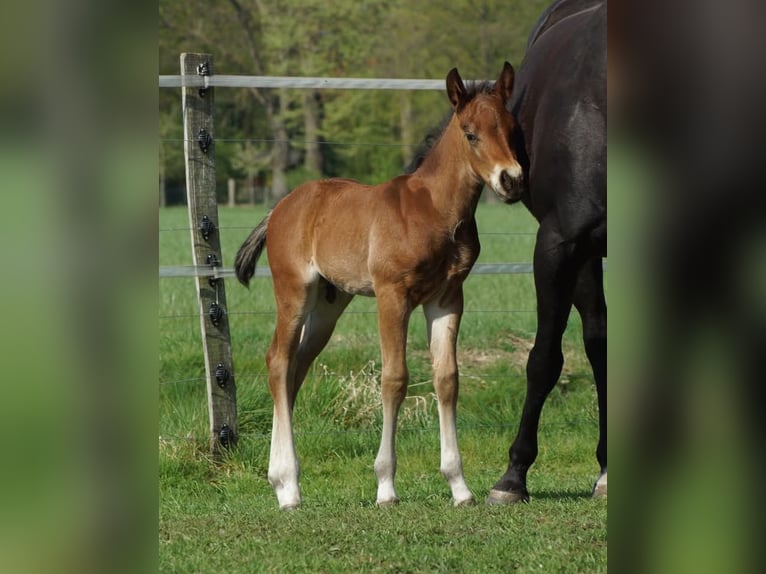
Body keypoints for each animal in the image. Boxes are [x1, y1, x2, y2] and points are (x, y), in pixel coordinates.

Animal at [235, 62, 524, 510]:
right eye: (470, 133)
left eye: (512, 128)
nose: (511, 180)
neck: (434, 211)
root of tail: (280, 207)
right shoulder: (393, 296)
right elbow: (394, 378)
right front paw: (386, 486)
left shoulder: (447, 298)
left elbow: (447, 379)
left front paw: (459, 486)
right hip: (293, 293)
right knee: (278, 361)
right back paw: (288, 487)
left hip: (328, 305)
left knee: (296, 368)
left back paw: (281, 482)